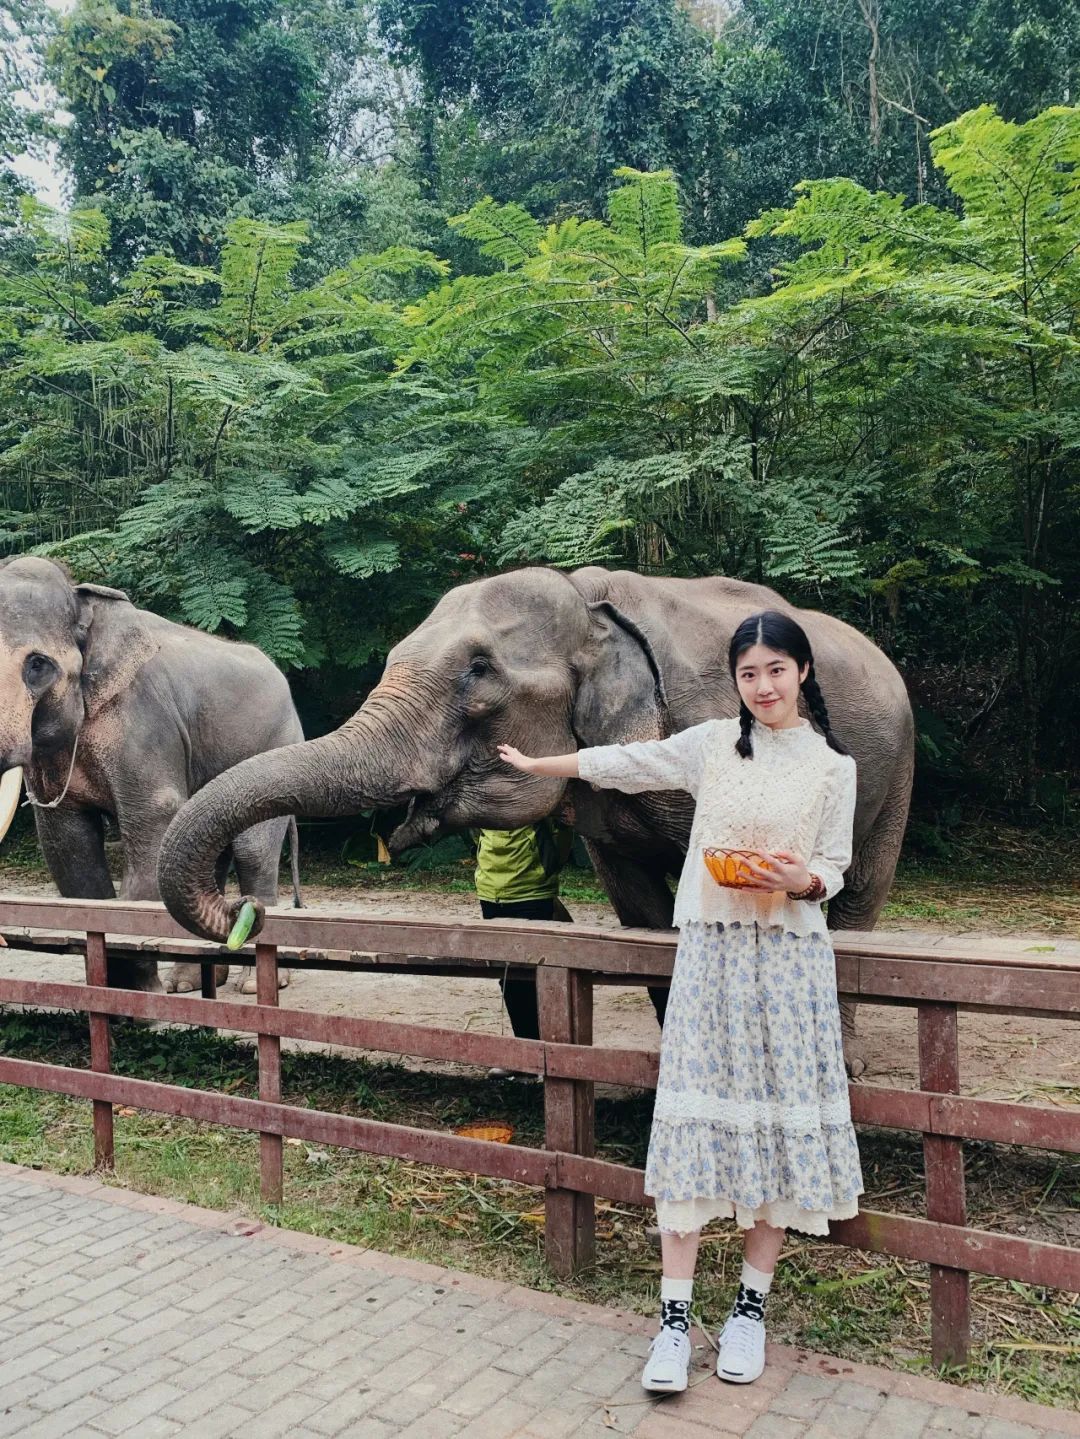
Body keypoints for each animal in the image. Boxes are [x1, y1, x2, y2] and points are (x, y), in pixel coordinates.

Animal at [0, 555, 301, 995]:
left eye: (37, 665)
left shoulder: (143, 721)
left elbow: (153, 820)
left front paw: (142, 993)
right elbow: (67, 842)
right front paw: (116, 991)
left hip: (277, 742)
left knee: (252, 850)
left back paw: (253, 985)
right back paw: (189, 983)